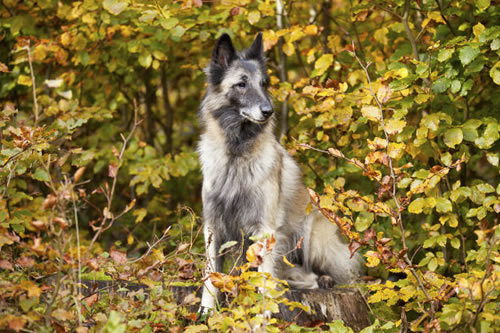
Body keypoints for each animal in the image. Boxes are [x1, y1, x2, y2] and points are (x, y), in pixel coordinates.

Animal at [196, 32, 364, 310]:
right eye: (241, 84)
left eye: (264, 84)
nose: (268, 111)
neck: (237, 155)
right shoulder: (213, 227)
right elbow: (212, 274)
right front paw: (207, 311)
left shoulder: (265, 229)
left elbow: (264, 277)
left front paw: (262, 312)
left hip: (312, 235)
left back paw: (321, 280)